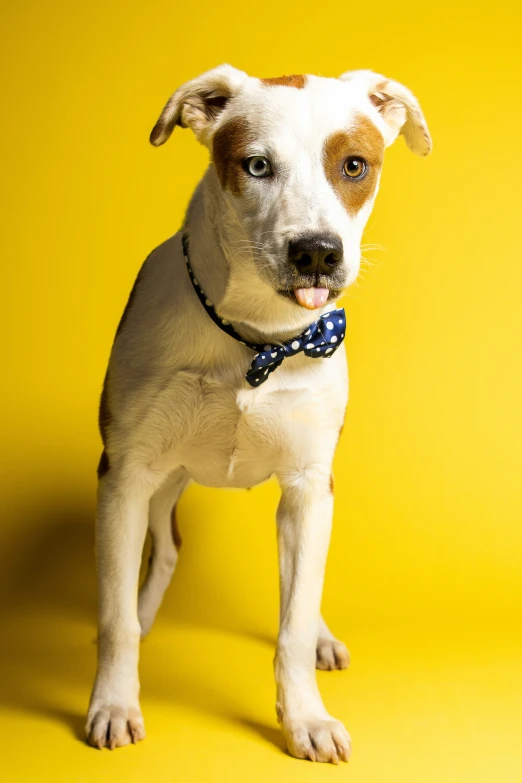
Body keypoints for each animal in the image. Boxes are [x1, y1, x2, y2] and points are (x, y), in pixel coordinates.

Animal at [84, 64, 426, 764]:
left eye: (354, 165)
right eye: (257, 165)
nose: (317, 252)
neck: (258, 341)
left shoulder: (308, 486)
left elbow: (291, 623)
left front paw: (305, 720)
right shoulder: (123, 476)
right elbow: (114, 617)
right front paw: (113, 705)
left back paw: (320, 635)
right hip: (162, 487)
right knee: (161, 553)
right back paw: (149, 611)